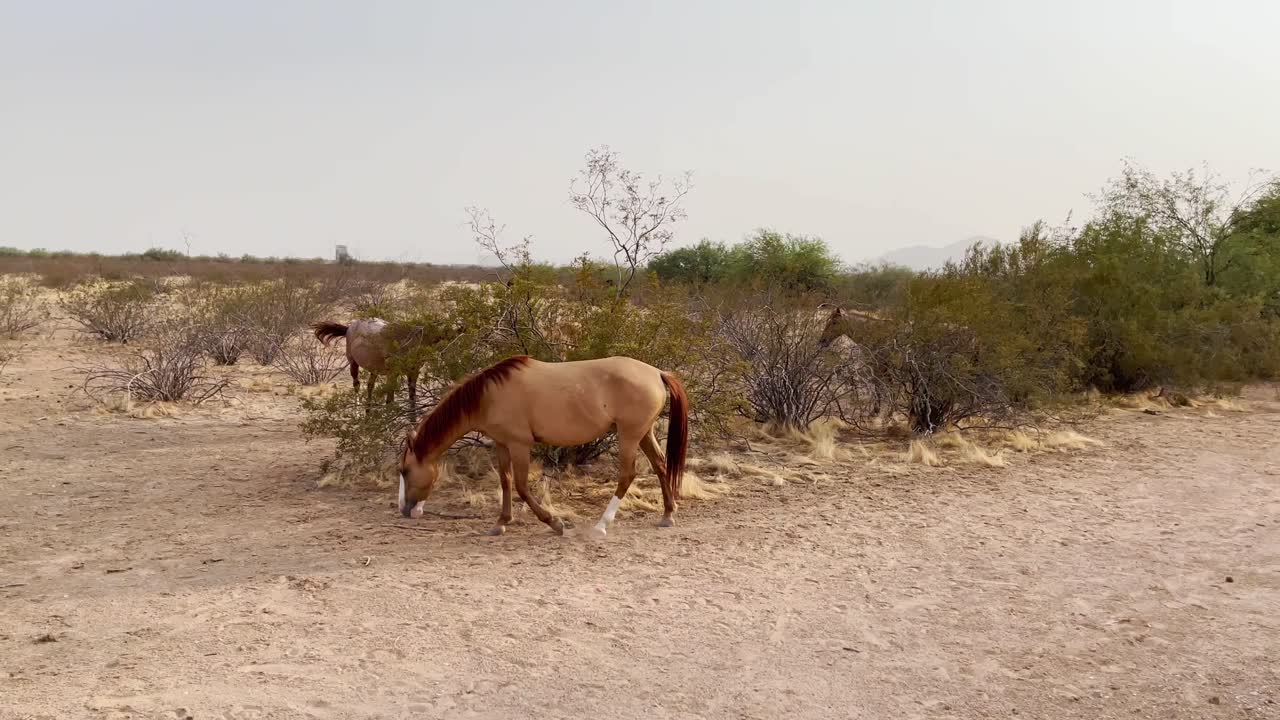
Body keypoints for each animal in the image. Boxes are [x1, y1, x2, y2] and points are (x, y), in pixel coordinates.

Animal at [395, 355, 689, 538]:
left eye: (405, 471)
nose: (405, 510)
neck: (488, 396)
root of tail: (657, 373)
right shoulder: (502, 444)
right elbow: (505, 481)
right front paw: (501, 523)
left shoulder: (519, 445)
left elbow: (522, 487)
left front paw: (555, 523)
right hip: (643, 433)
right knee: (660, 465)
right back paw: (667, 515)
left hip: (629, 435)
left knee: (627, 475)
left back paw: (600, 526)